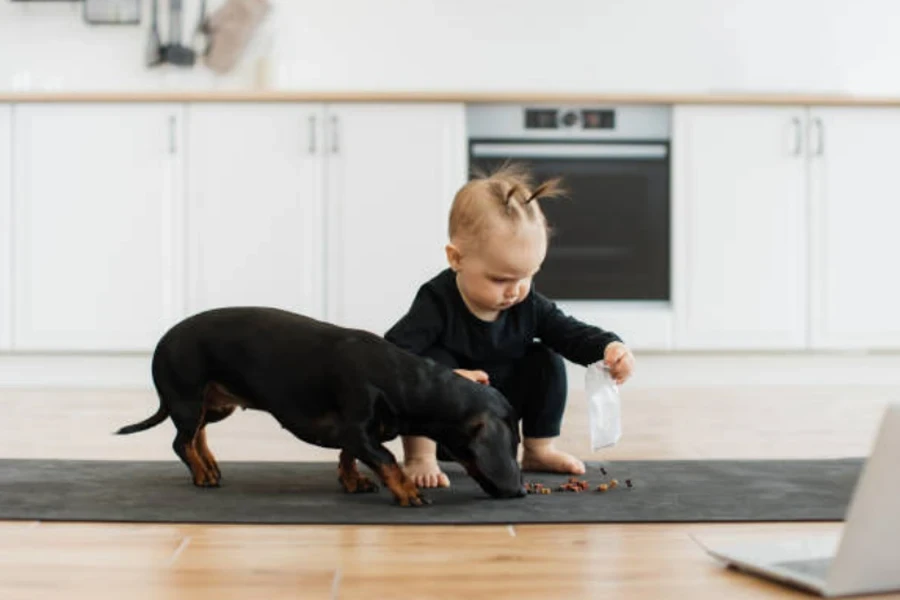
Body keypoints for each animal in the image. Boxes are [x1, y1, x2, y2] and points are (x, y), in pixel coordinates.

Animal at [119, 304, 528, 506]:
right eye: (514, 443)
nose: (522, 492)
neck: (398, 376)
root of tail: (163, 341)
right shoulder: (359, 430)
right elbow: (387, 459)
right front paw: (409, 493)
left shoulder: (354, 434)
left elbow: (348, 456)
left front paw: (353, 482)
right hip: (187, 399)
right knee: (181, 441)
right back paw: (202, 475)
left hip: (216, 407)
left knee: (198, 434)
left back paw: (210, 466)